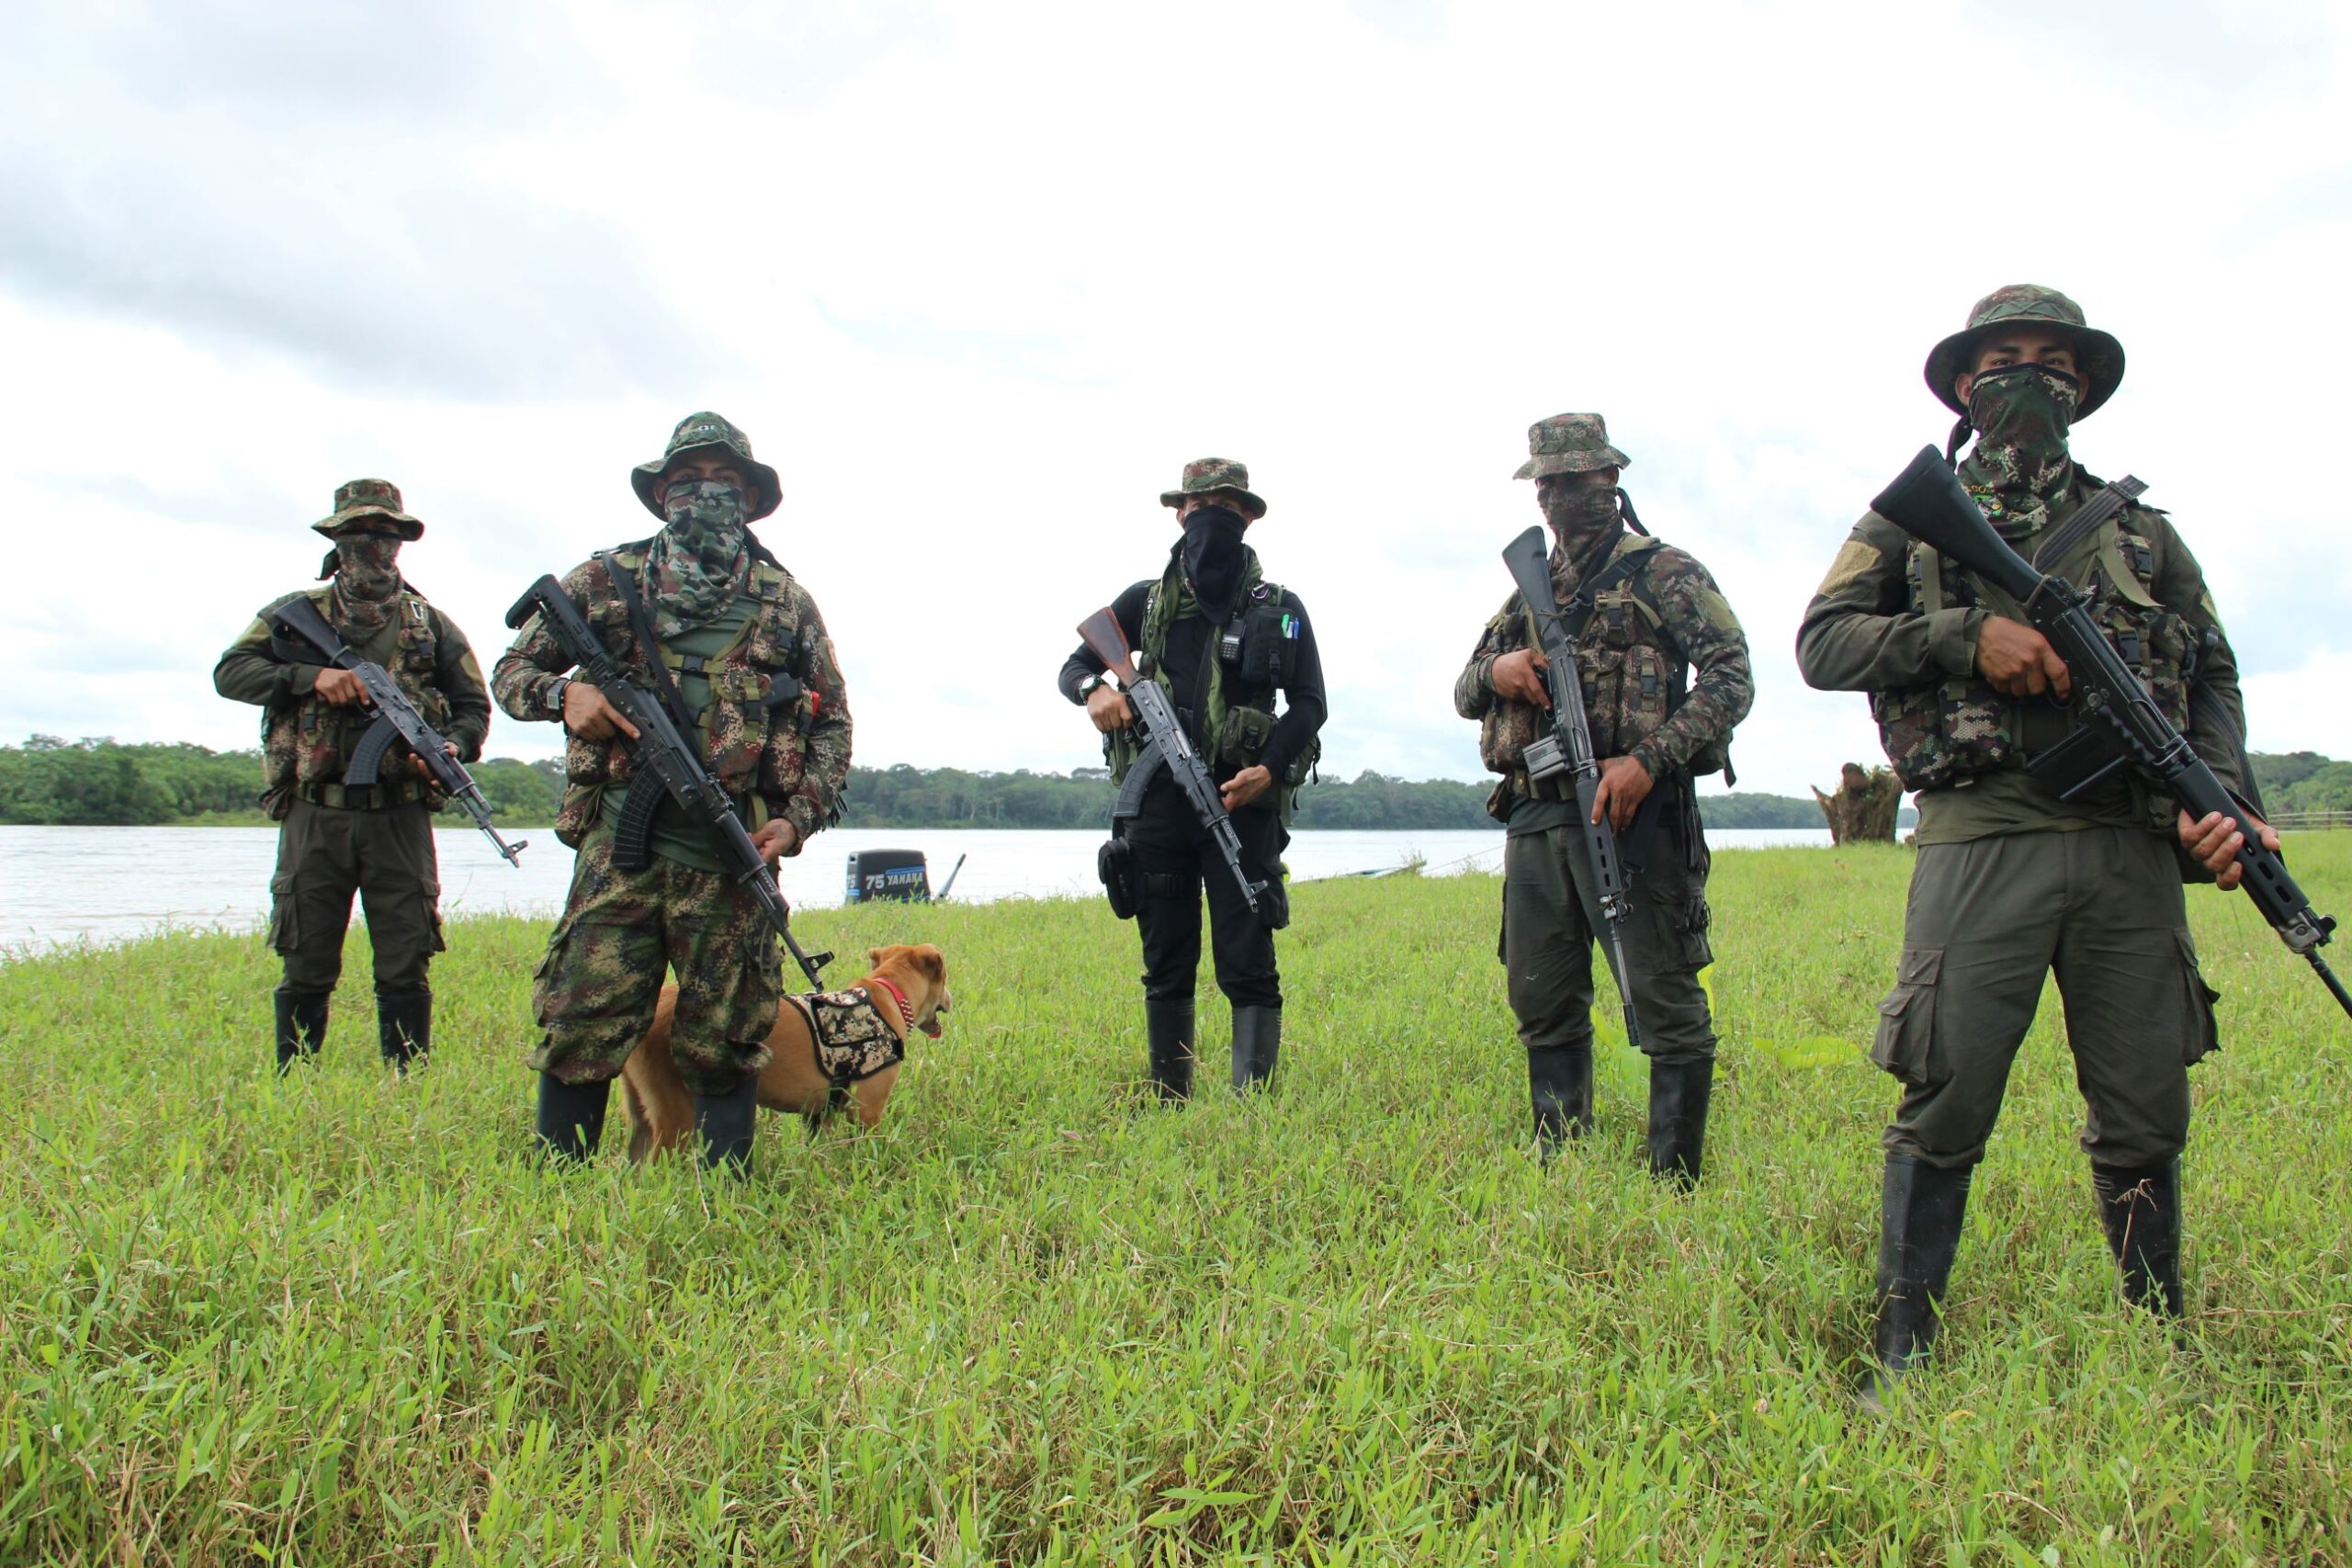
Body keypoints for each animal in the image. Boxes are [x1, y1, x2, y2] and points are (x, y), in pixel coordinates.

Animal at [625, 940, 964, 1161]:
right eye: (945, 978)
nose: (951, 999)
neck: (889, 993)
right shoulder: (867, 1109)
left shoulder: (820, 1113)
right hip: (676, 1115)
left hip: (642, 1112)